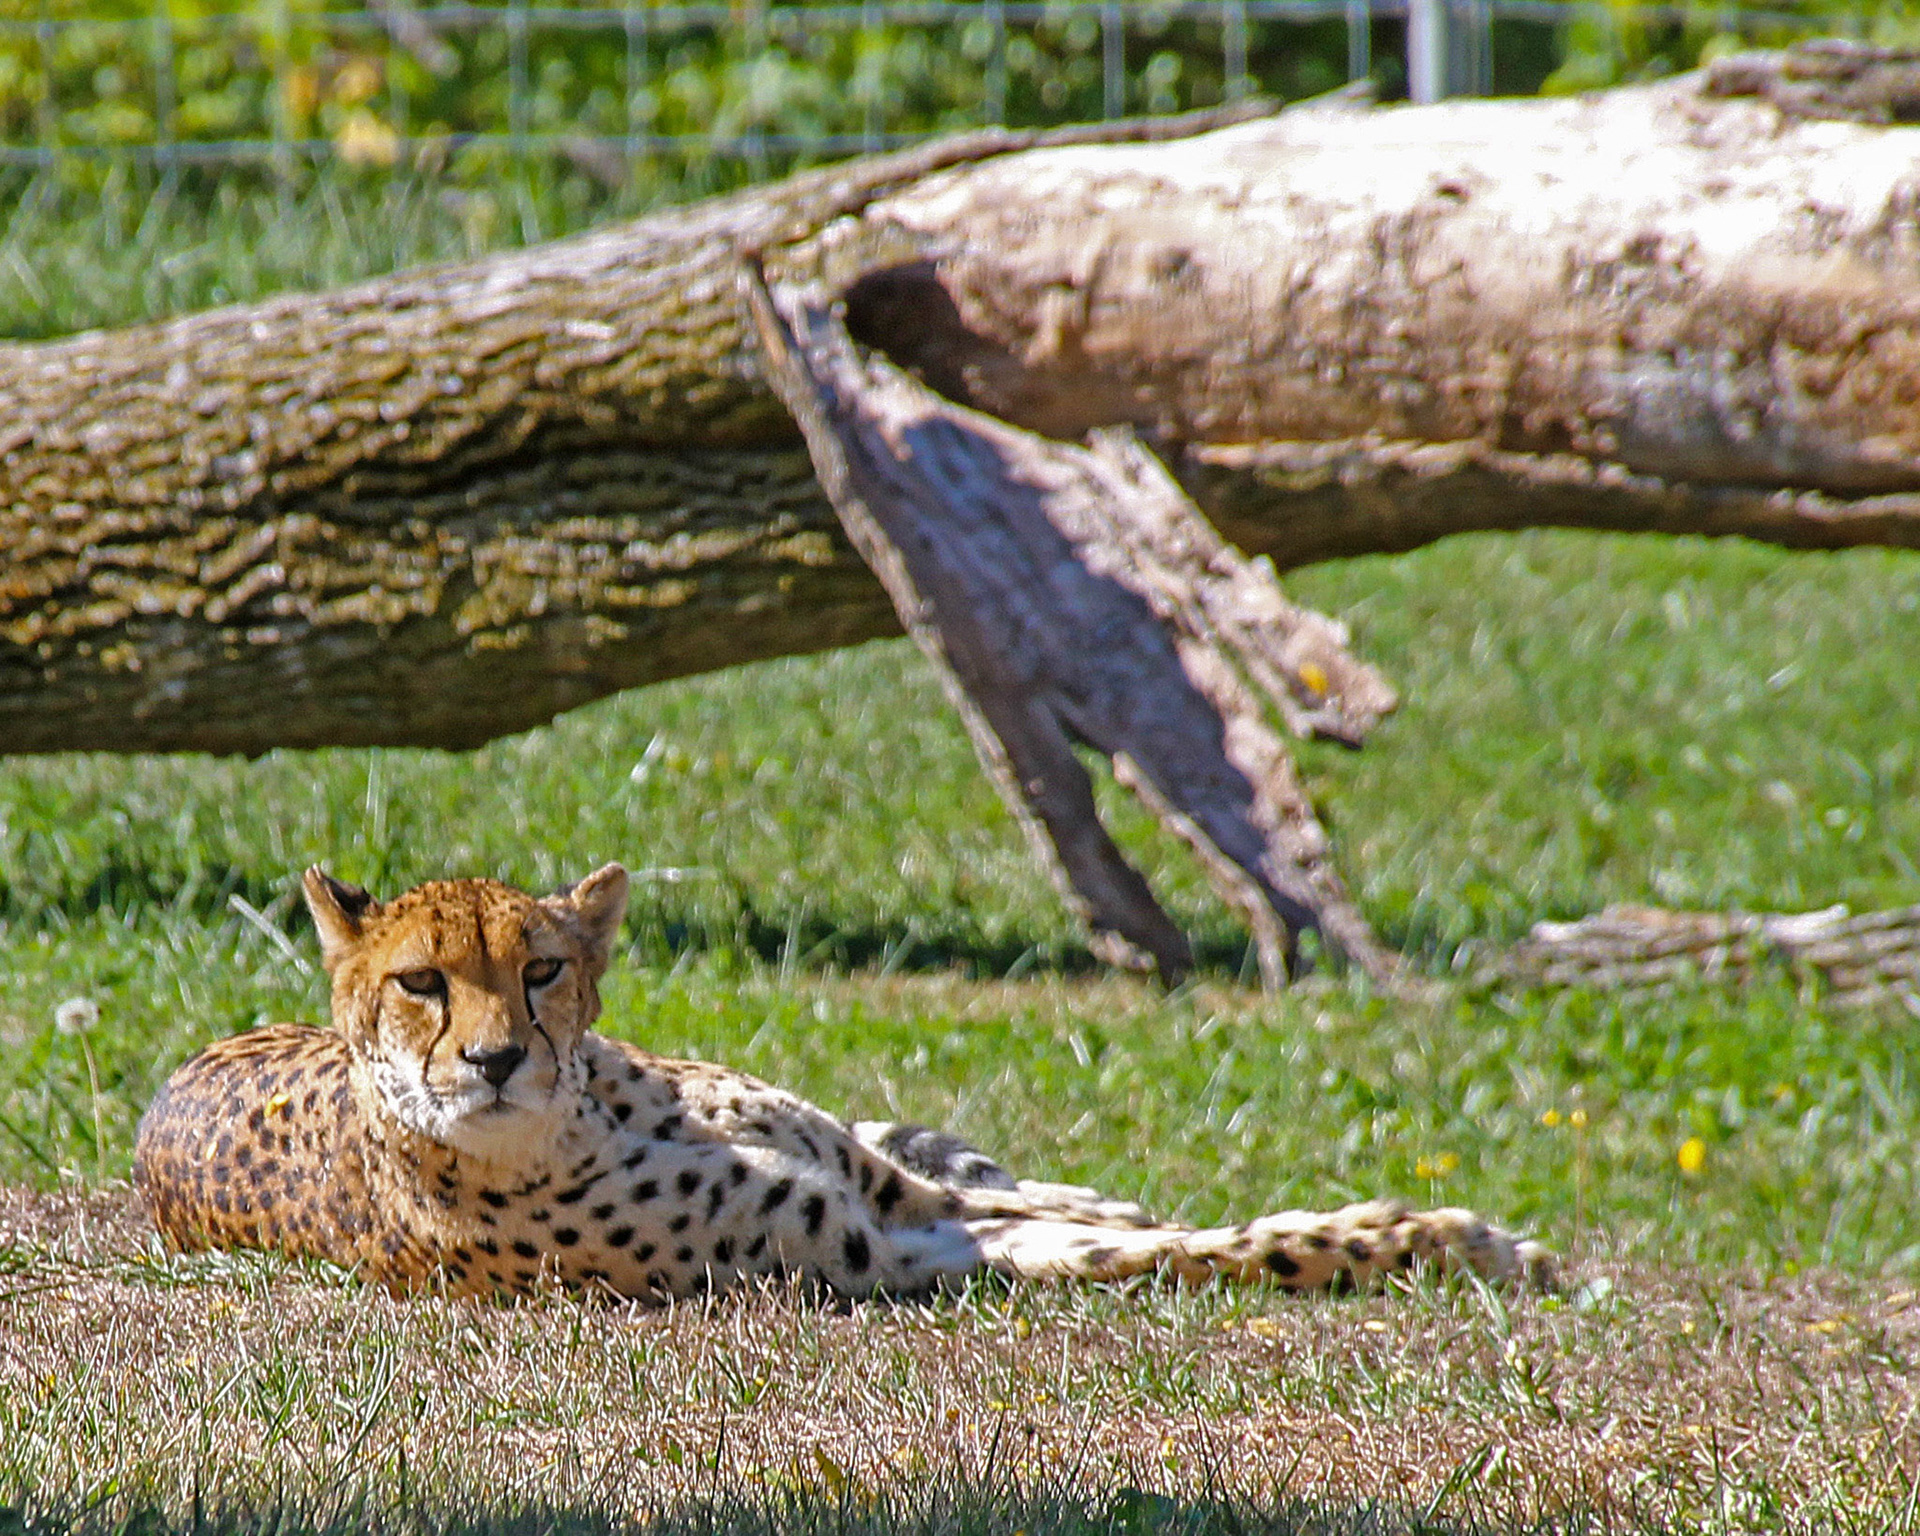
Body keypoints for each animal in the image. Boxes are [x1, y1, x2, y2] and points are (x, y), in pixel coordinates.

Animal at [135, 863, 1554, 1301]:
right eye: (421, 983)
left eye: (539, 969)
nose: (494, 1060)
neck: (596, 1116)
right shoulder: (890, 1253)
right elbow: (1201, 1252)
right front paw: (1426, 1238)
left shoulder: (895, 1195)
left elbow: (1130, 1222)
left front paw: (1443, 1229)